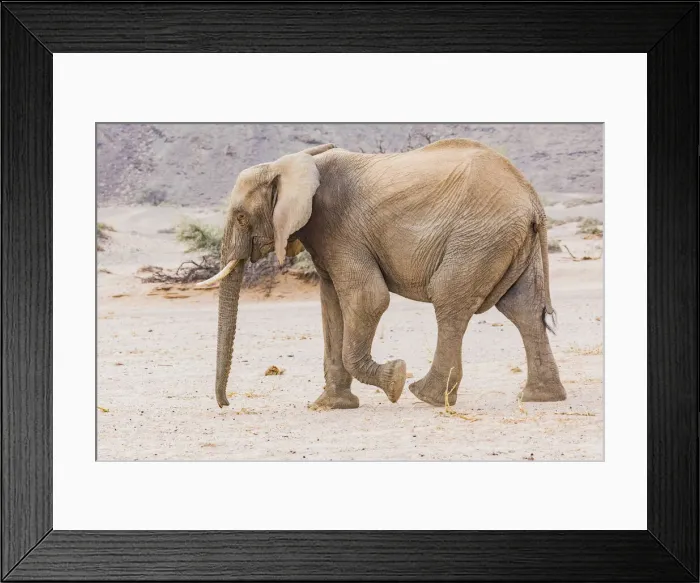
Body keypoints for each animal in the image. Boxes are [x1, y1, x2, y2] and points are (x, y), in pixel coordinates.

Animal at [198, 138, 566, 409]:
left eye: (241, 217)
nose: (226, 404)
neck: (287, 164)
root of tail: (531, 198)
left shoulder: (340, 229)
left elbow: (367, 299)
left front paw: (394, 380)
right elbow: (332, 307)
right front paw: (330, 406)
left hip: (479, 237)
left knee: (450, 301)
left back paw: (425, 395)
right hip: (511, 241)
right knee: (523, 309)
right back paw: (540, 397)